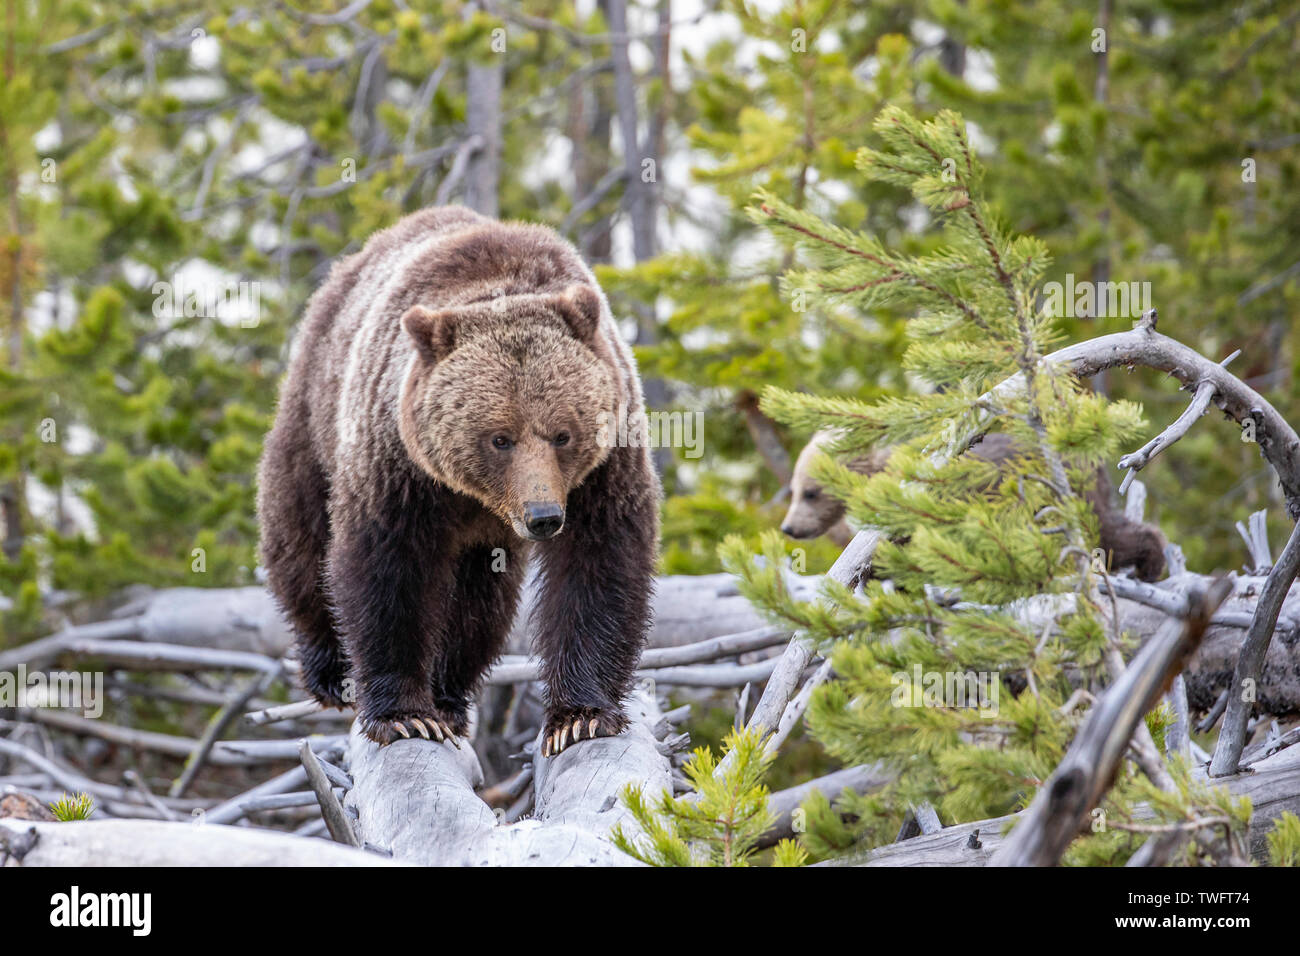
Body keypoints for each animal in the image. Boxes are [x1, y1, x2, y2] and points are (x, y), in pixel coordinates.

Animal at [254, 208, 660, 754]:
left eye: (563, 434)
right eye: (500, 438)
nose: (543, 517)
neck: (473, 495)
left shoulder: (605, 467)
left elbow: (599, 566)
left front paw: (581, 716)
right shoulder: (399, 466)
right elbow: (386, 569)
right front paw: (404, 715)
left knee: (480, 603)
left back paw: (449, 693)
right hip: (316, 405)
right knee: (298, 533)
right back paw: (330, 671)